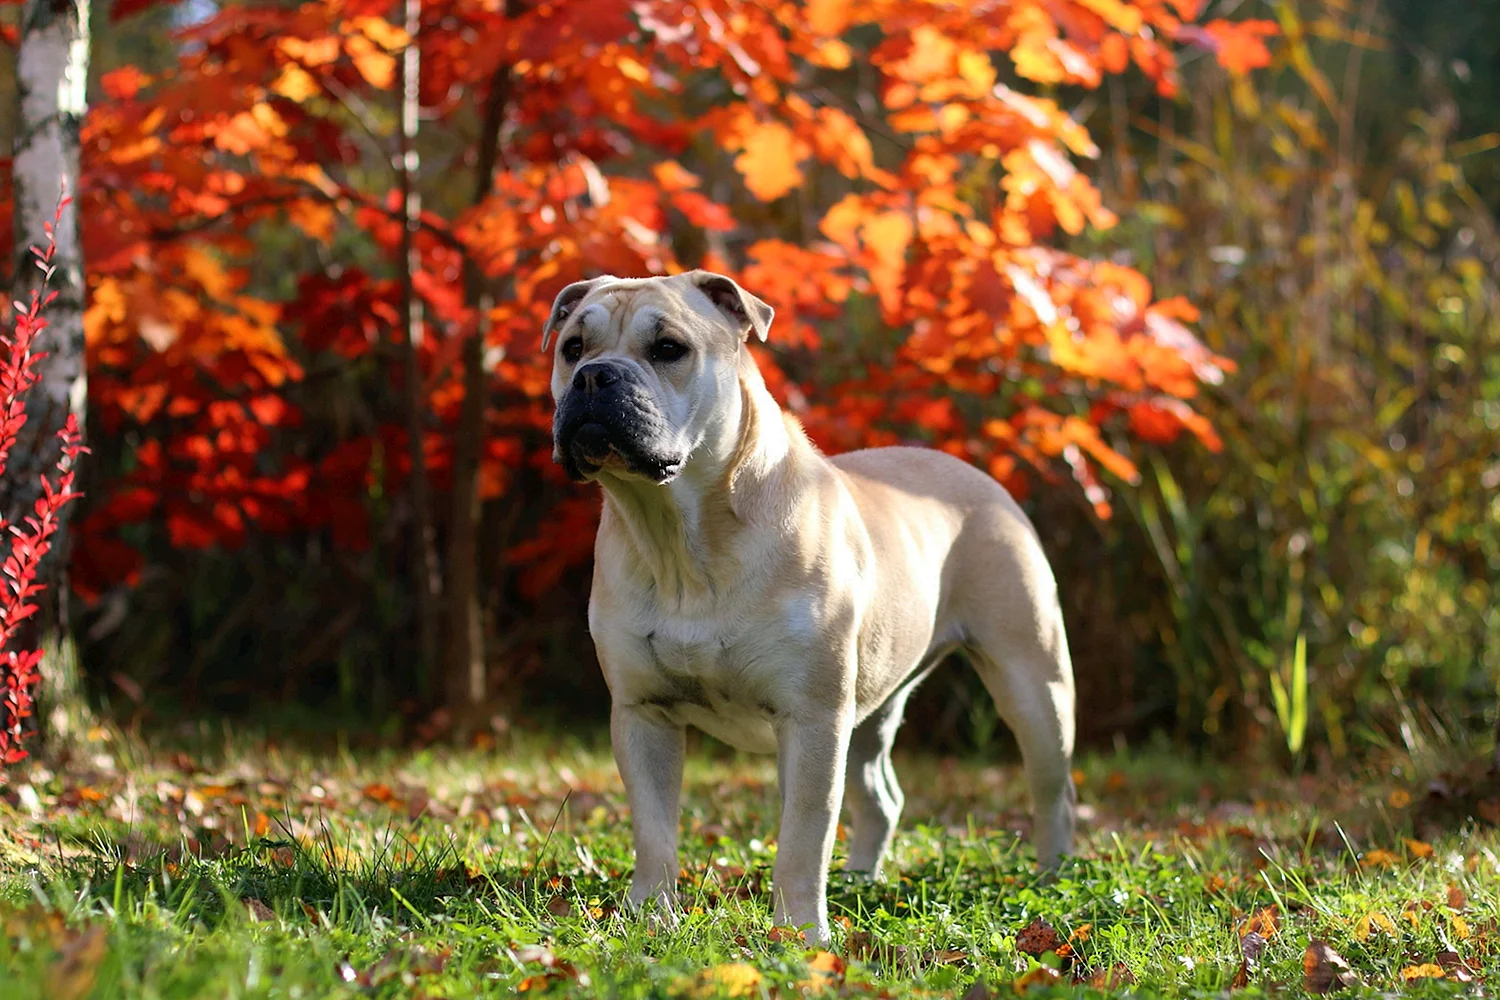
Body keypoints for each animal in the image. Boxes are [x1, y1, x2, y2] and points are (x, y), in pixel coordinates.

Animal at [546, 269, 1074, 941]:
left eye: (668, 348)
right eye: (572, 348)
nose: (594, 376)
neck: (679, 534)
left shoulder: (812, 719)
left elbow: (803, 836)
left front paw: (799, 934)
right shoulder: (644, 714)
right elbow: (655, 830)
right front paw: (650, 917)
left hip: (1034, 685)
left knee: (1053, 789)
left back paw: (1055, 876)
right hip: (872, 708)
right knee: (882, 796)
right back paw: (862, 879)